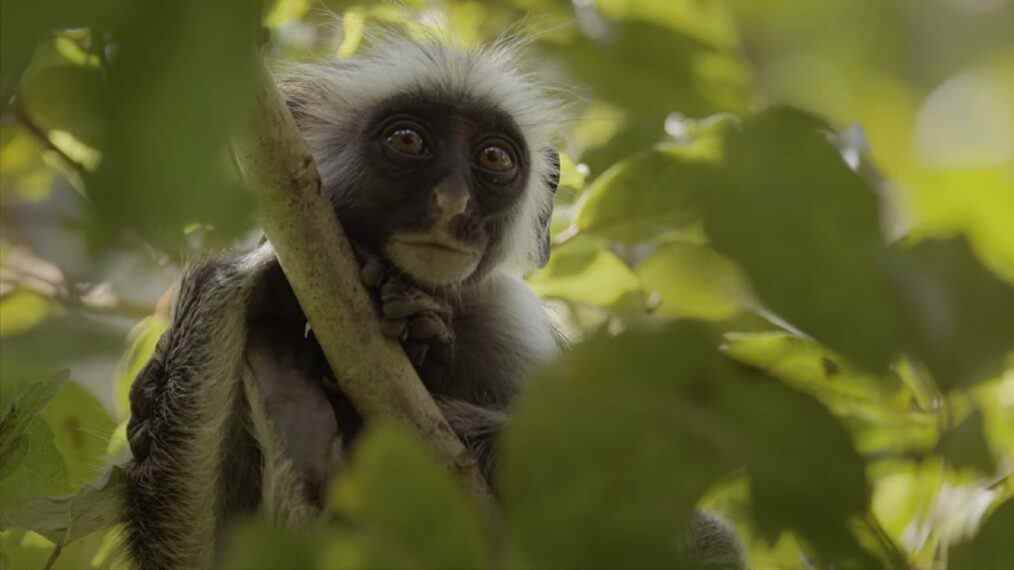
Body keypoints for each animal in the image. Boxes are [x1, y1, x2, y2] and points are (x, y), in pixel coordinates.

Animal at [120, 33, 746, 563]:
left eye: (494, 158)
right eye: (408, 141)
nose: (452, 203)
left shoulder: (504, 317)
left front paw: (422, 334)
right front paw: (264, 277)